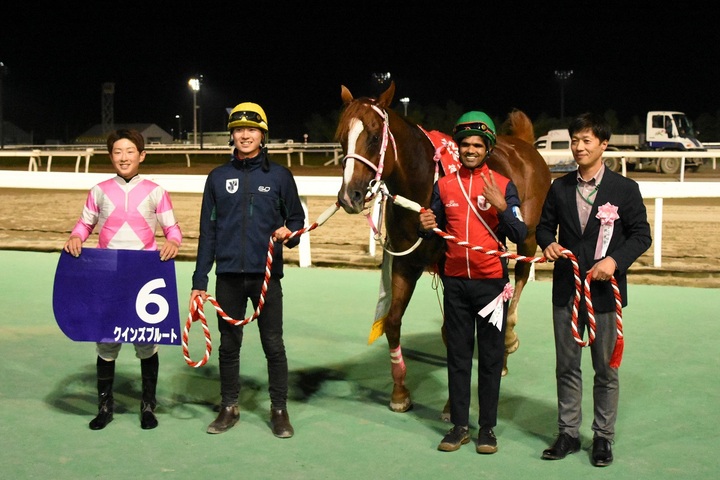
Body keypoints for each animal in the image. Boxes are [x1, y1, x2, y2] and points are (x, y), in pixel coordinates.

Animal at [335, 81, 551, 413]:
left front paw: (453, 404)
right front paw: (400, 392)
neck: (421, 186)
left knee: (522, 276)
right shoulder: (405, 264)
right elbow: (393, 322)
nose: (350, 196)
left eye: (373, 137)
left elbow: (454, 333)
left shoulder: (454, 272)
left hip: (528, 234)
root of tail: (523, 145)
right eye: (341, 137)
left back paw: (507, 341)